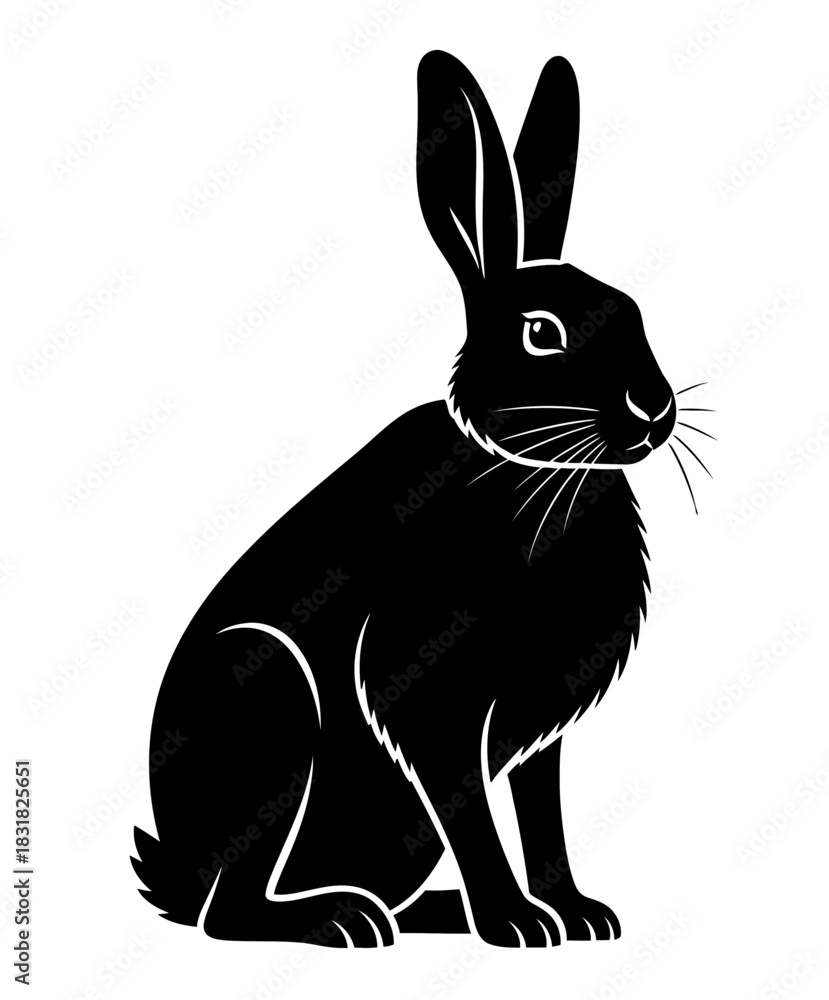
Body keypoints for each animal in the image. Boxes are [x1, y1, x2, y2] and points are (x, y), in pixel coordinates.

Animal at [133, 50, 682, 949]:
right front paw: (516, 924)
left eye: (631, 310)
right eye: (542, 333)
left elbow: (542, 819)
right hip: (269, 710)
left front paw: (575, 913)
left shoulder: (537, 734)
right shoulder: (432, 708)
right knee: (231, 913)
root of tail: (175, 869)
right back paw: (344, 920)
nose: (653, 410)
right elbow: (475, 815)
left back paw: (424, 911)